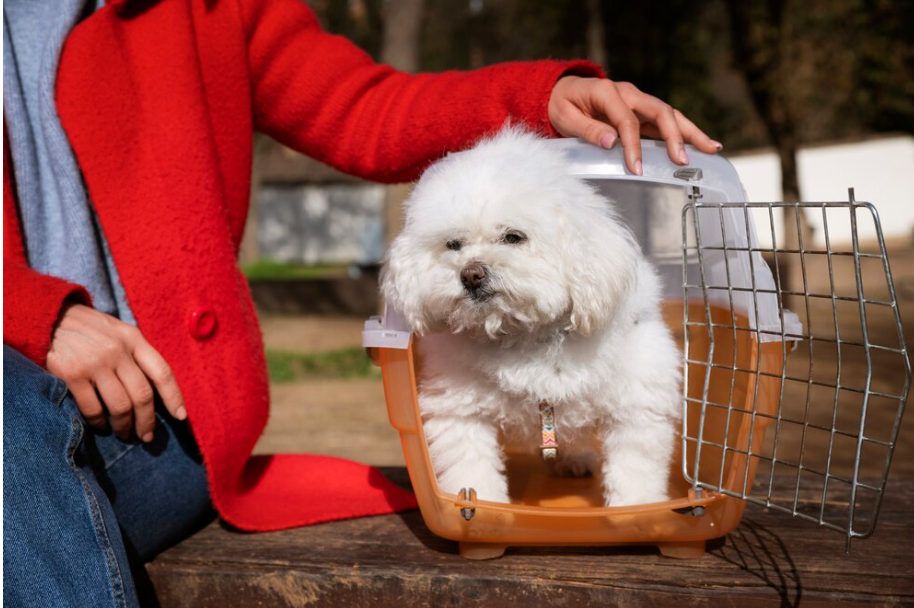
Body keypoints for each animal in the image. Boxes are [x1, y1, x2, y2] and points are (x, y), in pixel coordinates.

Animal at [382, 129, 680, 508]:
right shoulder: (460, 411)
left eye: (513, 237)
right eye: (453, 244)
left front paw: (636, 509)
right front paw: (480, 506)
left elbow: (635, 471)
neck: (523, 333)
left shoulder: (637, 406)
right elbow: (471, 469)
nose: (471, 274)